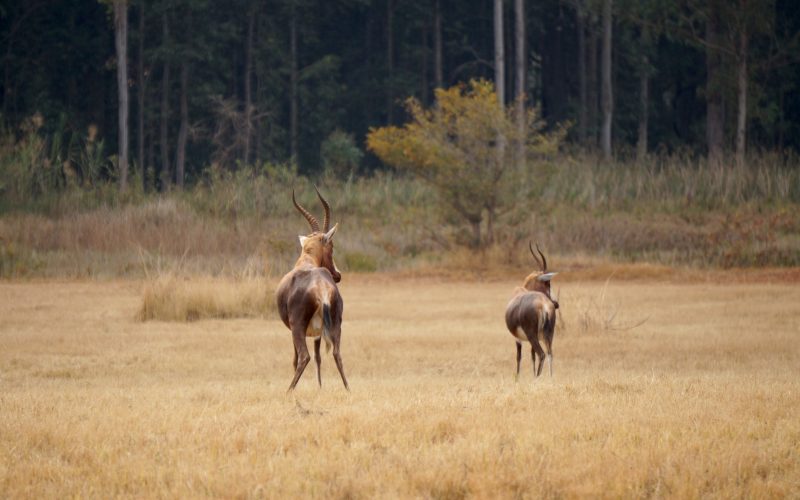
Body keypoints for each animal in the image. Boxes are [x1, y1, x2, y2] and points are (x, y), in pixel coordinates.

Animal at [276, 187, 348, 390]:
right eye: (331, 245)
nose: (338, 274)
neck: (306, 262)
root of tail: (321, 288)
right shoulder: (318, 333)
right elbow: (319, 358)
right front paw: (320, 388)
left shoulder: (296, 330)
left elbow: (297, 359)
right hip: (336, 324)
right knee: (336, 355)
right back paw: (348, 389)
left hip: (297, 327)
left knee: (303, 357)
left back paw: (289, 391)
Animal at [504, 242, 560, 378]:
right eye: (548, 283)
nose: (556, 304)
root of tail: (543, 305)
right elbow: (532, 356)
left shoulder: (517, 339)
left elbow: (519, 357)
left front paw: (517, 378)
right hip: (548, 335)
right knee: (550, 354)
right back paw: (550, 378)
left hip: (532, 336)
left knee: (542, 354)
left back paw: (537, 379)